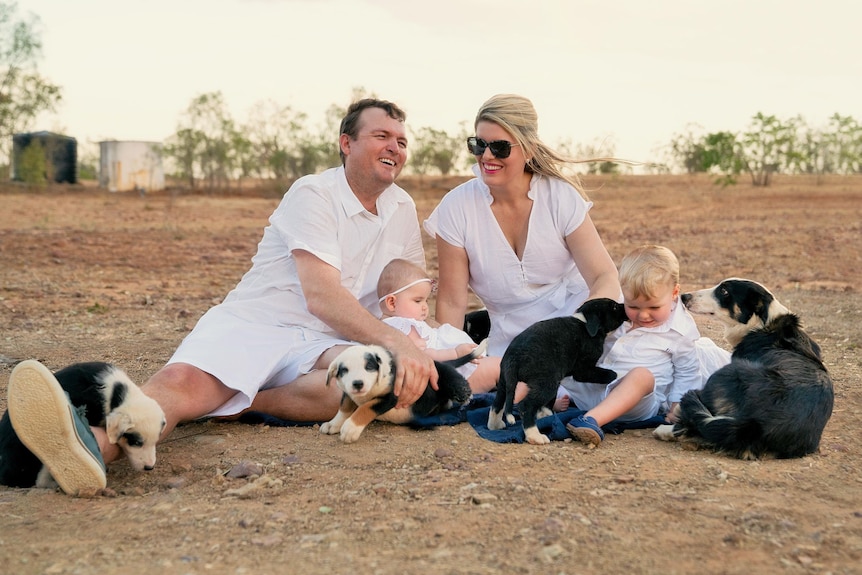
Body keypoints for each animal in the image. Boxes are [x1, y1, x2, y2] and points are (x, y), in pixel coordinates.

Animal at [318, 342, 482, 446]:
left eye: (369, 367)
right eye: (344, 370)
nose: (358, 384)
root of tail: (443, 361)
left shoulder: (391, 396)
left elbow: (365, 408)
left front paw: (350, 429)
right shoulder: (348, 393)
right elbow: (344, 407)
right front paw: (333, 424)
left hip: (445, 376)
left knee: (456, 383)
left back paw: (465, 396)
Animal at [490, 300, 632, 448]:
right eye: (614, 307)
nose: (625, 306)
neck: (585, 323)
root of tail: (514, 357)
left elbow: (549, 403)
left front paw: (546, 415)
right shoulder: (583, 370)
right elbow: (608, 374)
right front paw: (620, 374)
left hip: (506, 381)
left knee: (498, 402)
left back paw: (495, 425)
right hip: (547, 383)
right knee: (525, 405)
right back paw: (535, 436)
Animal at [656, 280, 836, 460]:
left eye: (724, 291)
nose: (684, 296)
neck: (762, 324)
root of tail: (754, 423)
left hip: (725, 373)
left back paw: (665, 430)